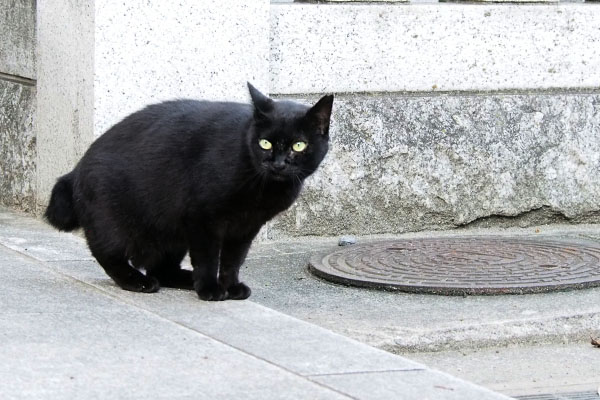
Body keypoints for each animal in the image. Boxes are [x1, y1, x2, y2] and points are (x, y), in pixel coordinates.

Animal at [44, 83, 336, 300]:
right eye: (265, 143)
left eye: (298, 146)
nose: (278, 163)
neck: (262, 187)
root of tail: (76, 168)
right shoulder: (202, 217)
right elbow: (208, 257)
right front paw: (210, 289)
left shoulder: (245, 227)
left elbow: (233, 260)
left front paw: (230, 286)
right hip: (115, 221)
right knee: (108, 254)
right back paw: (138, 281)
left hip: (170, 233)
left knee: (161, 267)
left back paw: (185, 278)